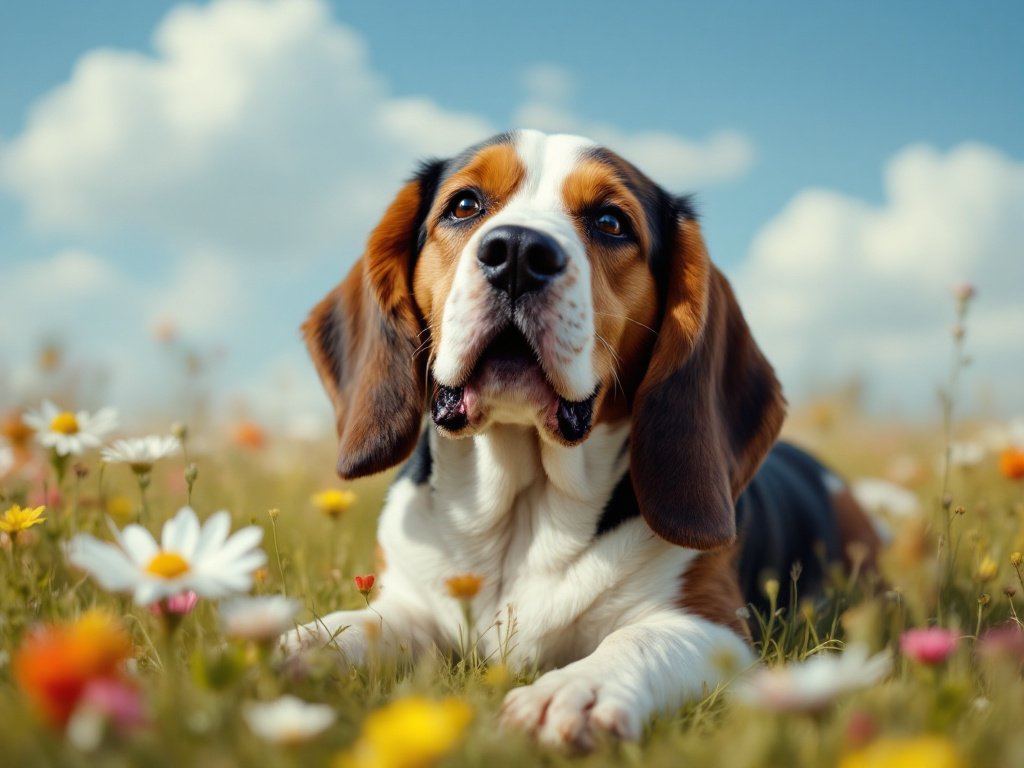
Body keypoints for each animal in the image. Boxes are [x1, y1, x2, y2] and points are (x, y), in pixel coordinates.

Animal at [288, 129, 880, 749]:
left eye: (611, 221)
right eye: (464, 205)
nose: (518, 253)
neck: (523, 512)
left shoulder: (716, 627)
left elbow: (637, 640)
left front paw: (573, 690)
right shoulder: (414, 602)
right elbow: (367, 626)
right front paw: (304, 645)